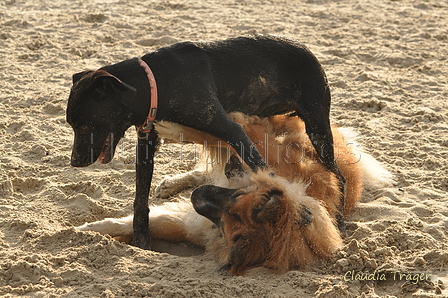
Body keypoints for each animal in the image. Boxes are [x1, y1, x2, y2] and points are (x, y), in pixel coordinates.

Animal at [66, 34, 346, 249]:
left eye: (86, 125)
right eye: (71, 124)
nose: (74, 162)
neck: (156, 84)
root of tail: (308, 52)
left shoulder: (232, 130)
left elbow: (266, 173)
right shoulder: (146, 142)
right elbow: (140, 199)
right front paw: (141, 239)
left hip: (317, 128)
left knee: (338, 176)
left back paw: (340, 221)